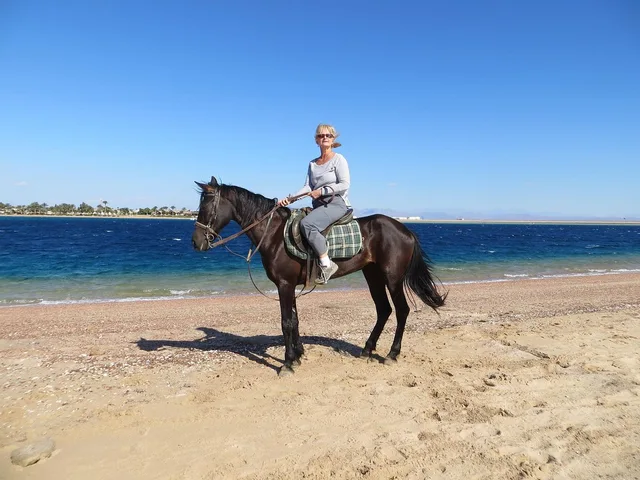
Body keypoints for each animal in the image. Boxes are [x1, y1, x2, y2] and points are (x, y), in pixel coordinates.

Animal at [192, 177, 447, 376]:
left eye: (206, 207)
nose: (196, 243)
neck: (274, 234)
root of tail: (406, 230)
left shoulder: (284, 284)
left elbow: (286, 322)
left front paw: (287, 363)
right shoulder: (290, 286)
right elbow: (294, 321)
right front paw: (298, 355)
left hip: (392, 278)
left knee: (402, 310)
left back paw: (392, 353)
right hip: (372, 275)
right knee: (384, 310)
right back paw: (367, 349)